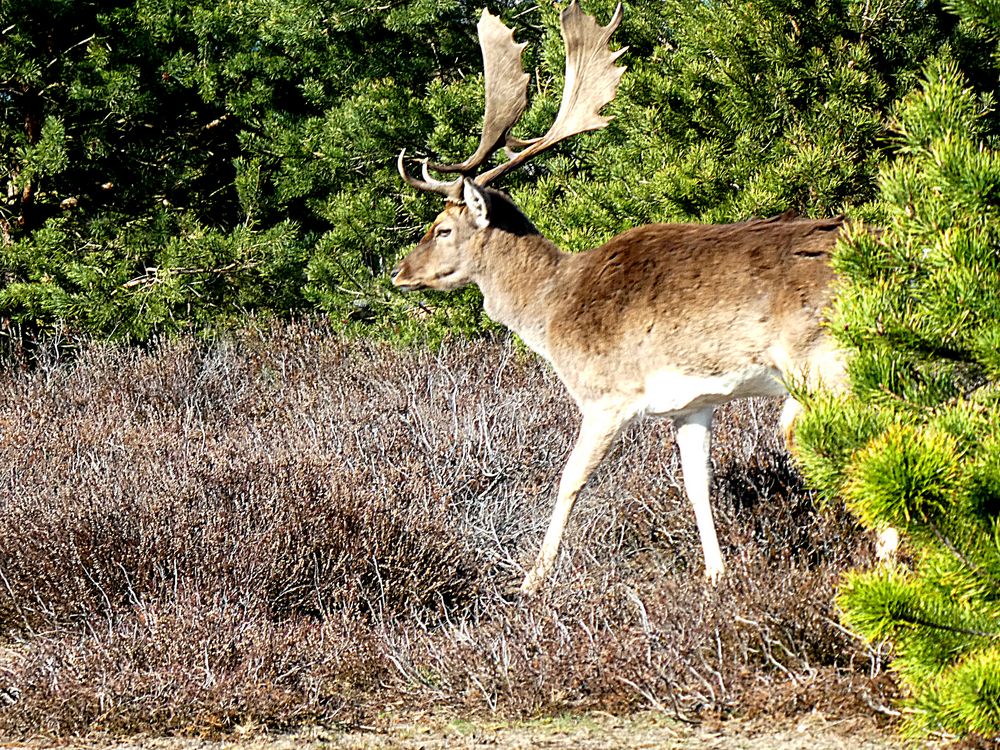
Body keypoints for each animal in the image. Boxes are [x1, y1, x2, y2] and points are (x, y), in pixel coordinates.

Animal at [390, 1, 852, 600]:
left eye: (443, 228)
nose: (400, 273)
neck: (552, 311)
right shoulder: (692, 403)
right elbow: (697, 484)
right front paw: (716, 575)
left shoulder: (606, 394)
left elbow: (569, 481)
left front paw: (532, 581)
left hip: (821, 361)